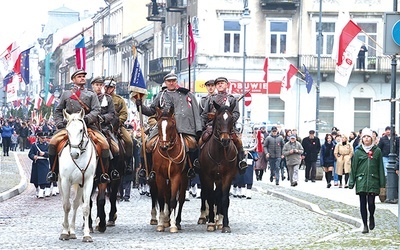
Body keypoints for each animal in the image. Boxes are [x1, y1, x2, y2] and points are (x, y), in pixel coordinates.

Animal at [57, 109, 97, 242]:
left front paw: (87, 235)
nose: (74, 153)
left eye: (80, 130)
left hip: (80, 185)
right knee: (65, 202)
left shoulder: (88, 181)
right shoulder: (65, 181)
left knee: (75, 204)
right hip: (60, 182)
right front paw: (64, 232)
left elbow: (85, 207)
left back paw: (73, 231)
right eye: (67, 130)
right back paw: (66, 228)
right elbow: (66, 206)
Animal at [198, 101, 238, 232]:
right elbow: (210, 197)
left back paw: (219, 220)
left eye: (231, 119)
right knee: (205, 194)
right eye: (219, 118)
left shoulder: (227, 177)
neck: (220, 153)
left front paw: (224, 224)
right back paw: (204, 217)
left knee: (218, 195)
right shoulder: (207, 177)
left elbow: (224, 198)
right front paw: (211, 222)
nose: (225, 140)